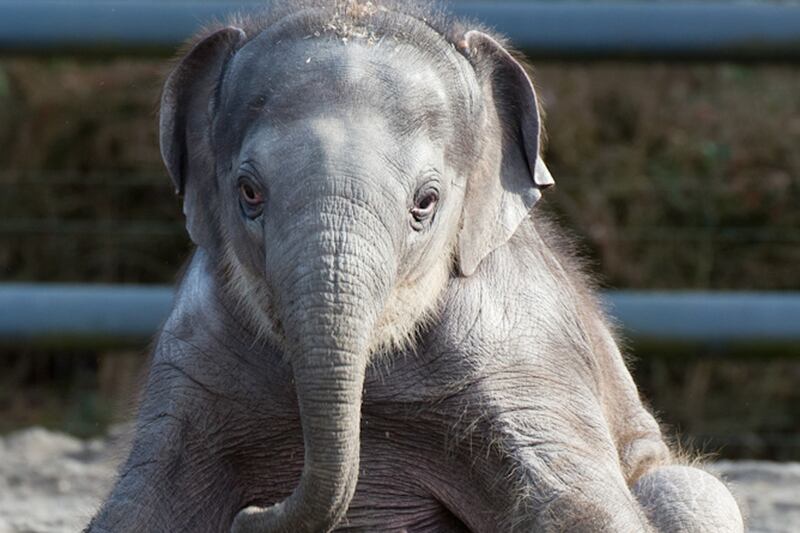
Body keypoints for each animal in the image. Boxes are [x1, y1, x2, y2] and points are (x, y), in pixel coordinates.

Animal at [89, 1, 744, 532]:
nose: (252, 513)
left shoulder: (525, 357)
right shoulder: (192, 357)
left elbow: (582, 509)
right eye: (249, 192)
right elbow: (139, 510)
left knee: (693, 491)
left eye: (424, 203)